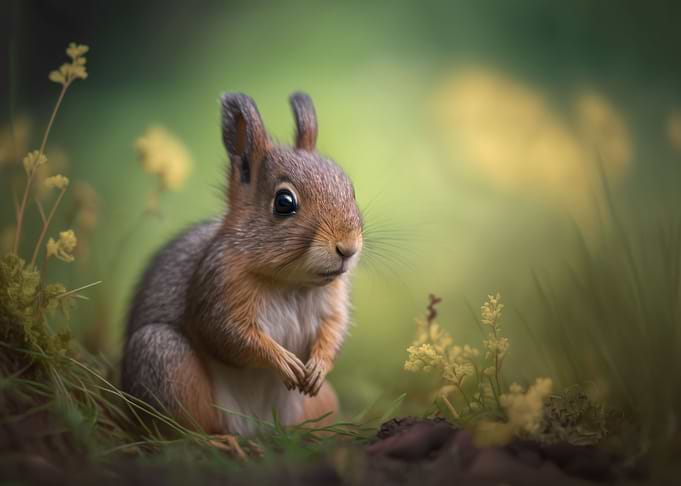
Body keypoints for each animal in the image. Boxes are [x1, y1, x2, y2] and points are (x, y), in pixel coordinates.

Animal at [121, 92, 363, 436]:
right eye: (284, 203)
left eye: (350, 189)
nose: (348, 248)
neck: (291, 282)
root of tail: (257, 429)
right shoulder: (216, 283)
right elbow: (227, 334)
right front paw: (282, 361)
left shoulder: (333, 301)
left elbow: (334, 330)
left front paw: (319, 365)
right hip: (164, 360)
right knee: (184, 432)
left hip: (321, 403)